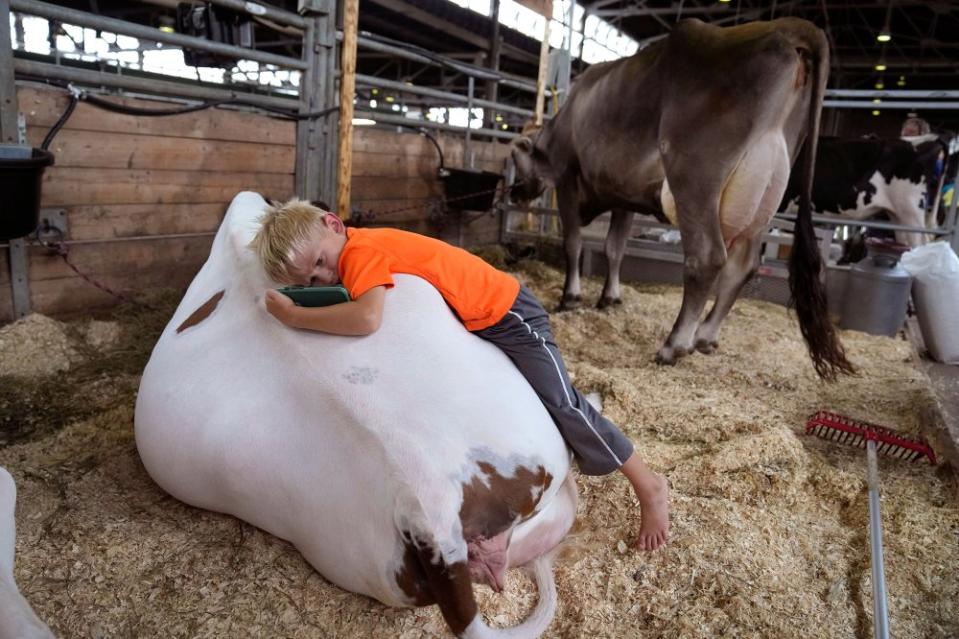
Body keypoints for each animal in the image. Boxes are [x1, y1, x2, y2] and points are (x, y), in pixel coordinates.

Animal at [510, 17, 856, 380]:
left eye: (515, 161)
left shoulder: (567, 179)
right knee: (743, 266)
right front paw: (610, 298)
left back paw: (674, 344)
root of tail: (784, 26)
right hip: (764, 193)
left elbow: (573, 243)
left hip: (695, 178)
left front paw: (570, 297)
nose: (514, 192)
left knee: (707, 258)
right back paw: (704, 337)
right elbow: (615, 247)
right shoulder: (623, 196)